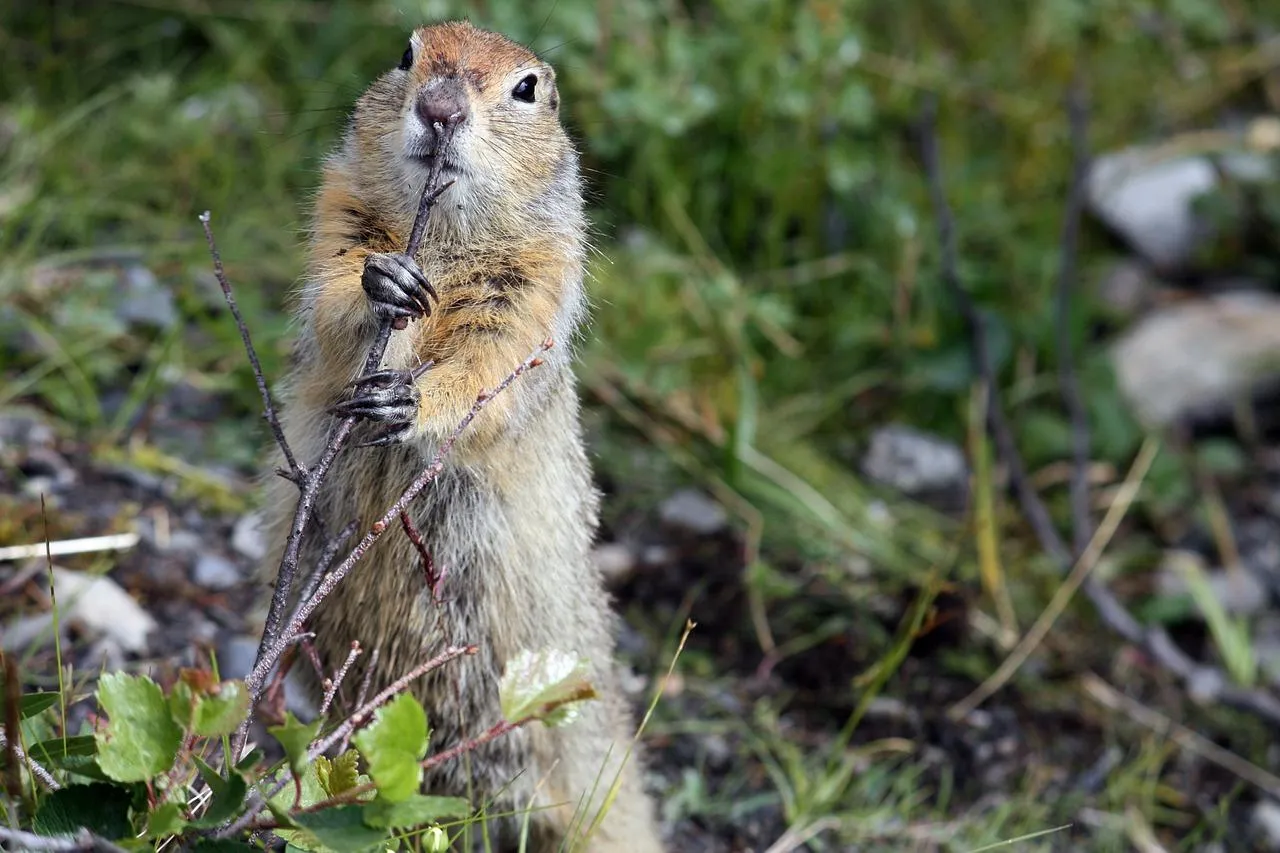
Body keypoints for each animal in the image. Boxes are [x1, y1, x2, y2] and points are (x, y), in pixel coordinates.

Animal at [256, 19, 665, 850]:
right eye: (406, 54)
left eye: (527, 88)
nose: (441, 109)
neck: (442, 237)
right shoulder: (337, 212)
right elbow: (335, 295)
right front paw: (382, 283)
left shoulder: (534, 284)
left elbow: (487, 362)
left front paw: (409, 400)